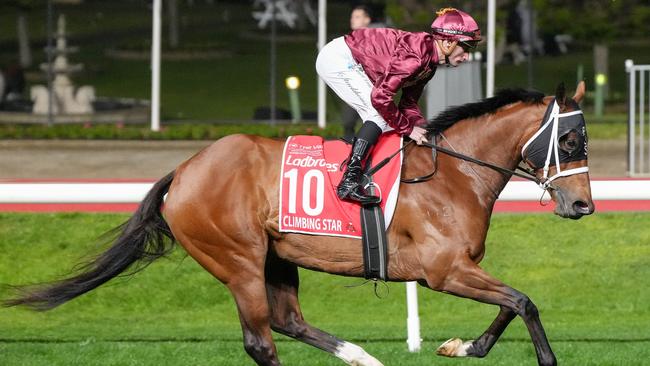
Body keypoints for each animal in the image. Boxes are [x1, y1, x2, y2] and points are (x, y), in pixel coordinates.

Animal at [5, 83, 592, 366]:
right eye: (568, 141)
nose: (584, 206)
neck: (453, 173)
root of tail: (185, 170)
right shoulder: (443, 270)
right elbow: (523, 302)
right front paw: (536, 357)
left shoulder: (459, 268)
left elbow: (513, 304)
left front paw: (462, 347)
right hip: (237, 258)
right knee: (261, 340)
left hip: (276, 257)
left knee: (287, 322)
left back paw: (362, 357)